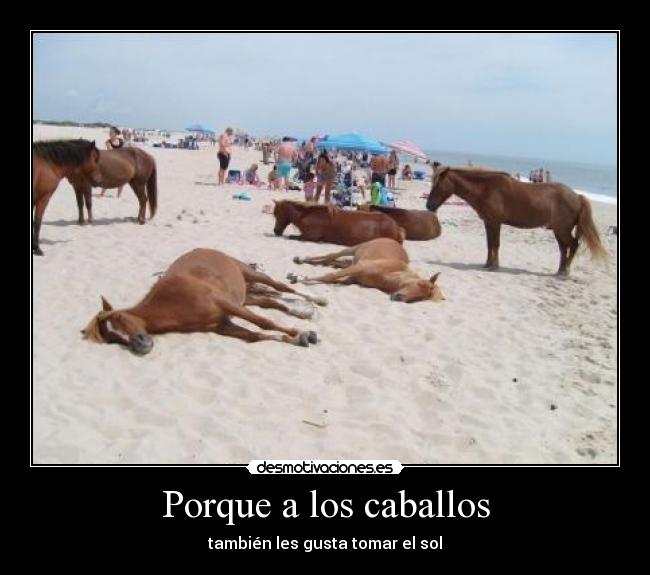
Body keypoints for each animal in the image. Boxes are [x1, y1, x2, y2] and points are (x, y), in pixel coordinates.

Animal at [82, 248, 327, 355]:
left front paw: (303, 333)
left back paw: (318, 300)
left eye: (121, 317)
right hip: (246, 297)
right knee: (271, 301)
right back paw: (301, 311)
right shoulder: (221, 325)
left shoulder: (225, 305)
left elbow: (263, 323)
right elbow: (255, 336)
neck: (172, 303)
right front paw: (296, 339)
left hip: (251, 275)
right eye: (113, 340)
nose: (141, 345)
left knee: (281, 288)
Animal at [272, 200, 404, 246]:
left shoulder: (308, 237)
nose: (276, 231)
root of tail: (396, 226)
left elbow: (292, 237)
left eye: (277, 214)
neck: (306, 214)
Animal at [287, 238, 444, 303]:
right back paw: (301, 259)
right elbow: (330, 276)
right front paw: (300, 278)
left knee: (332, 261)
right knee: (331, 255)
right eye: (421, 284)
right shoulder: (359, 267)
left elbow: (333, 279)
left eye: (421, 298)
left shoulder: (352, 277)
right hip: (353, 248)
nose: (398, 298)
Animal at [425, 166, 608, 274]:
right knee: (564, 249)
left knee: (573, 245)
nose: (429, 206)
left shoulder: (495, 223)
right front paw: (487, 264)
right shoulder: (488, 223)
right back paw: (560, 270)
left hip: (562, 230)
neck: (486, 189)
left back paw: (566, 271)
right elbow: (489, 244)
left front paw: (494, 266)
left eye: (437, 185)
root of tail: (577, 196)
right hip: (558, 231)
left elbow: (495, 244)